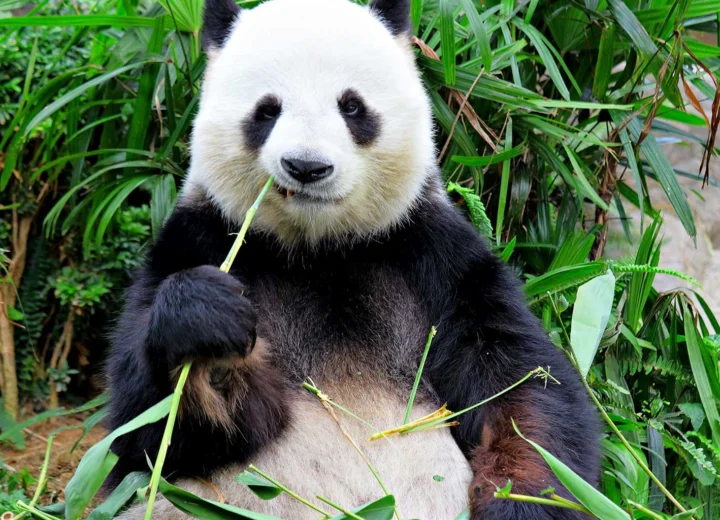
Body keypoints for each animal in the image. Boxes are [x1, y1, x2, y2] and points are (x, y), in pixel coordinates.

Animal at [106, 0, 600, 518]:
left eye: (352, 106)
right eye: (267, 110)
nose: (306, 167)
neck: (320, 249)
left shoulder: (432, 253)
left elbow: (520, 384)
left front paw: (520, 497)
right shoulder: (199, 239)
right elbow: (149, 431)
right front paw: (209, 337)